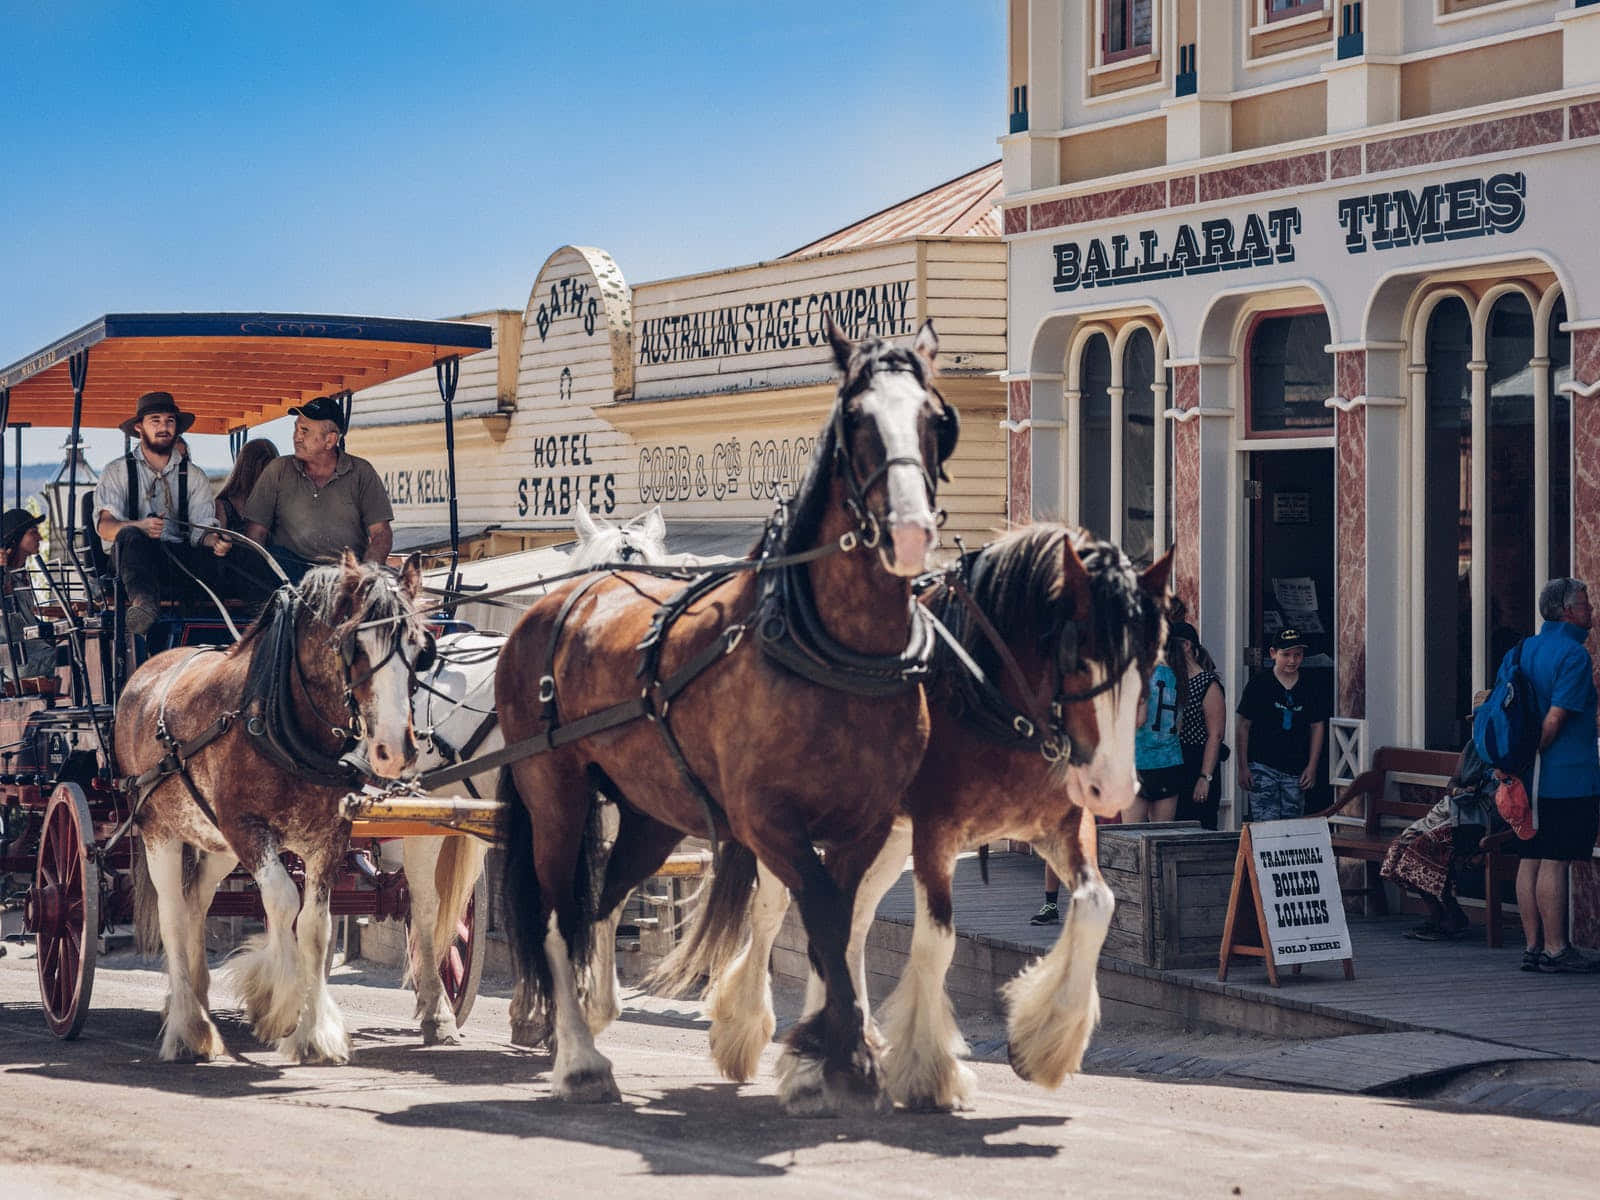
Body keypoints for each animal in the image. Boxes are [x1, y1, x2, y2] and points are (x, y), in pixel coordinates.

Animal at [122, 553, 432, 1062]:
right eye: (354, 645)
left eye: (419, 645)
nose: (394, 750)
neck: (280, 717)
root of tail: (146, 672)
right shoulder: (248, 828)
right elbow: (285, 901)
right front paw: (279, 1006)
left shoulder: (328, 838)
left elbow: (315, 926)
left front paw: (316, 1032)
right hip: (160, 833)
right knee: (172, 913)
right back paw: (189, 1026)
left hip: (215, 842)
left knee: (195, 904)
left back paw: (194, 1000)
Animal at [492, 320, 953, 1120]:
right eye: (856, 420)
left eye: (935, 419)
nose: (910, 532)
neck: (833, 649)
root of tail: (558, 601)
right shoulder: (769, 820)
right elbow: (822, 916)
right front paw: (834, 1058)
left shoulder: (865, 823)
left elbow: (840, 926)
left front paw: (830, 1053)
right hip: (553, 793)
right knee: (556, 915)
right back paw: (579, 1059)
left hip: (650, 813)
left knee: (602, 905)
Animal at [662, 524, 1177, 1107]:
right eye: (1076, 653)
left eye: (1149, 659)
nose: (1113, 787)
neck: (992, 697)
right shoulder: (937, 833)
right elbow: (937, 940)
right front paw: (929, 1069)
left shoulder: (1062, 827)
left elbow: (1097, 905)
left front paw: (1044, 1042)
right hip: (793, 830)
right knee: (776, 913)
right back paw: (751, 1030)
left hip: (883, 838)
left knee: (848, 924)